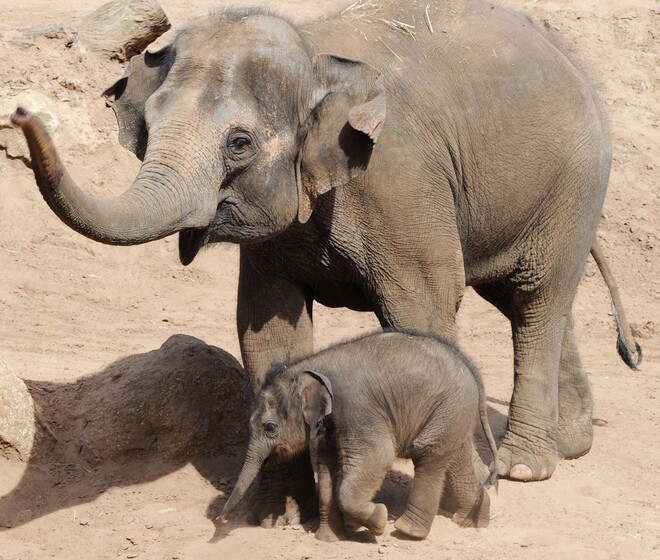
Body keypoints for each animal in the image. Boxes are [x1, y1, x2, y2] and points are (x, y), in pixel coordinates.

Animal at [219, 330, 498, 541]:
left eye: (269, 427)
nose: (221, 519)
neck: (310, 364)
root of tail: (471, 368)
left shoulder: (356, 407)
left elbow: (378, 456)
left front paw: (379, 520)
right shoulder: (329, 425)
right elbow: (327, 467)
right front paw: (329, 539)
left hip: (449, 406)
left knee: (428, 453)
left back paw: (408, 531)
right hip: (454, 412)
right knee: (456, 455)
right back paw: (471, 519)